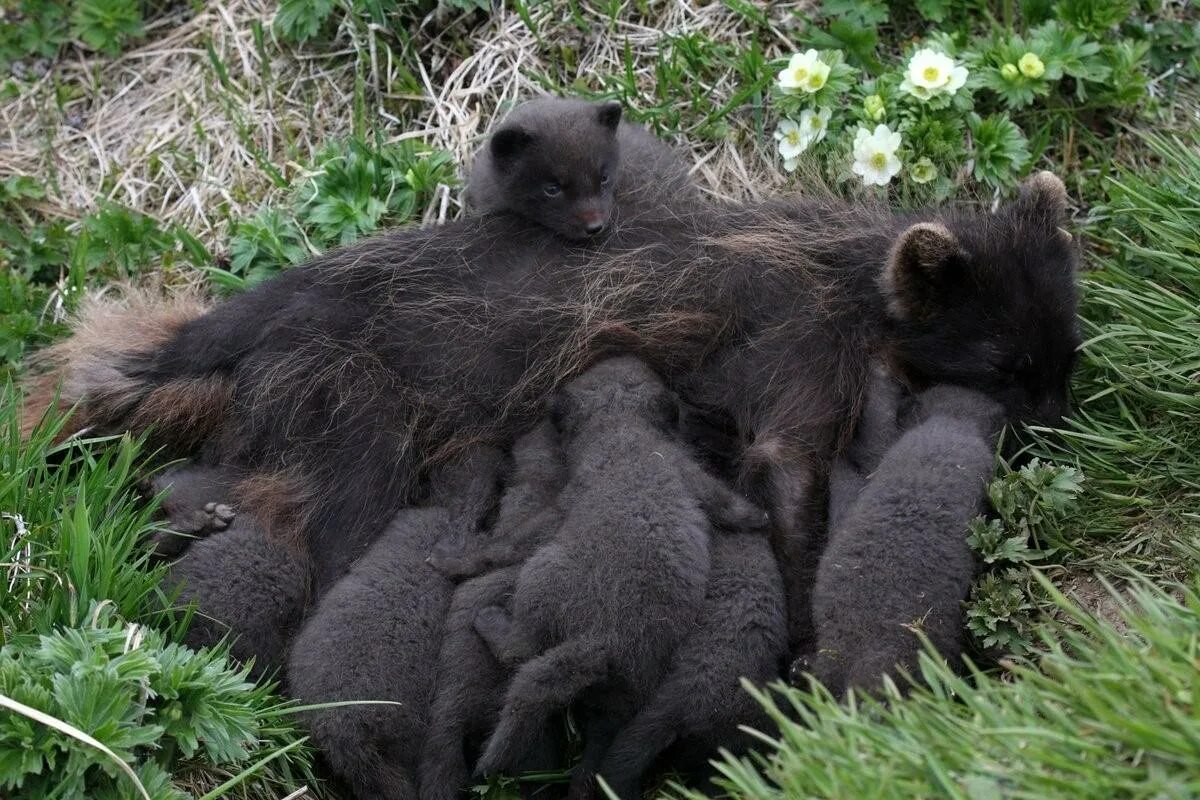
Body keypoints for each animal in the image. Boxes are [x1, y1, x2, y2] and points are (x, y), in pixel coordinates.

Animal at [25, 172, 1080, 652]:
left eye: (1069, 348)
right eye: (1004, 362)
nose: (1071, 432)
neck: (852, 272)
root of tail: (241, 318)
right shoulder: (796, 362)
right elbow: (789, 481)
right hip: (352, 424)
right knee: (298, 518)